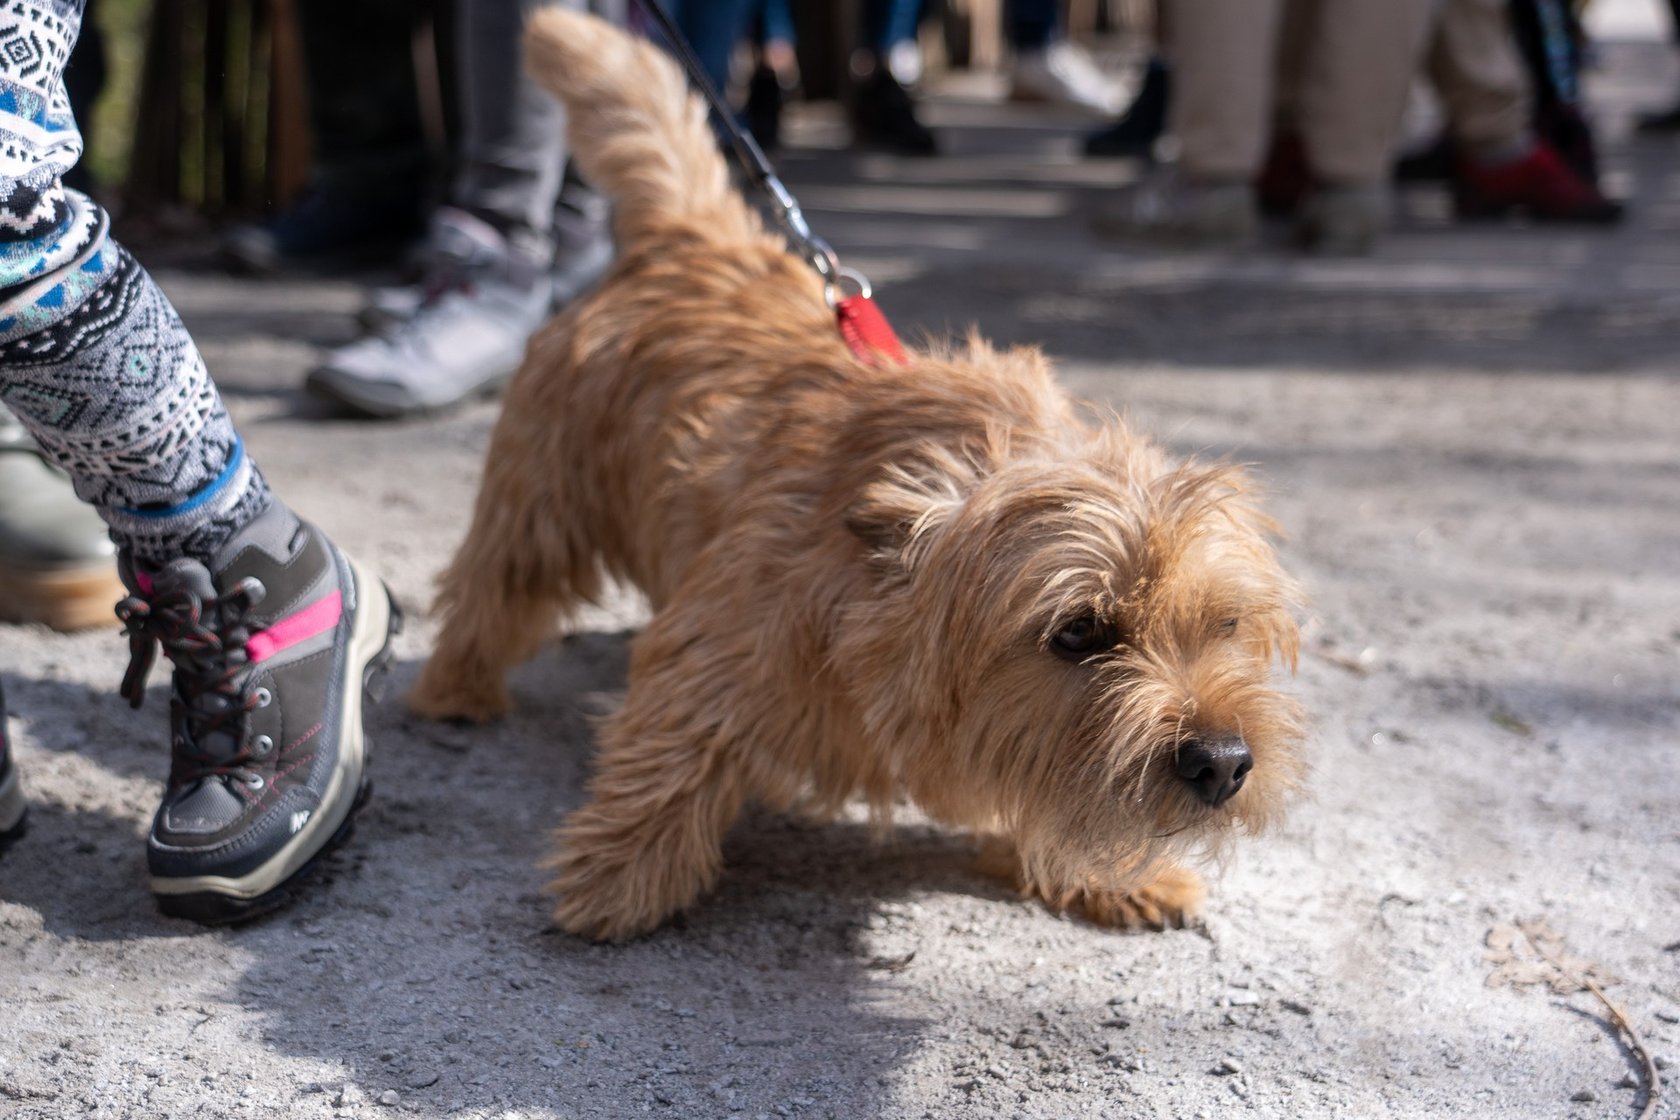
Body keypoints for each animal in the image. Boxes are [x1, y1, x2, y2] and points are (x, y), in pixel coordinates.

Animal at [410, 8, 1307, 942]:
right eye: (1079, 633)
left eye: (1227, 624)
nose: (1222, 761)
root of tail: (690, 235)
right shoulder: (725, 649)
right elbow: (671, 746)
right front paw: (615, 877)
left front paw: (1110, 877)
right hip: (538, 496)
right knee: (491, 584)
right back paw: (456, 688)